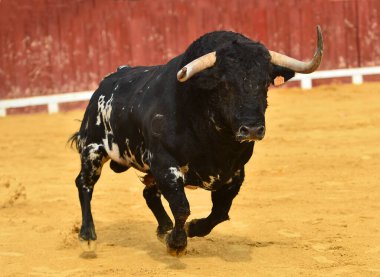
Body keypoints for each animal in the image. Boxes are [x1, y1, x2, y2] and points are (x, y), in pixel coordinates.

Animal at [69, 25, 324, 254]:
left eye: (265, 83)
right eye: (225, 84)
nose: (252, 129)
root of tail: (105, 83)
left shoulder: (234, 173)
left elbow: (220, 212)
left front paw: (191, 230)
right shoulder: (165, 165)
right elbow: (182, 207)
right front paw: (177, 244)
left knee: (149, 194)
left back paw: (163, 228)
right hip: (93, 150)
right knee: (84, 184)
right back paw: (88, 236)